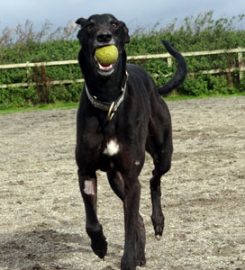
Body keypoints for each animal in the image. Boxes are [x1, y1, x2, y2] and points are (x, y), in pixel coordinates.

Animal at [75, 13, 187, 270]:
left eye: (115, 24)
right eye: (89, 25)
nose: (104, 37)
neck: (108, 103)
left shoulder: (130, 176)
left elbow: (127, 227)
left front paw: (128, 261)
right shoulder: (86, 171)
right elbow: (92, 221)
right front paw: (100, 244)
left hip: (163, 152)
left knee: (154, 180)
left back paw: (158, 221)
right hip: (115, 179)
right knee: (138, 217)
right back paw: (142, 250)